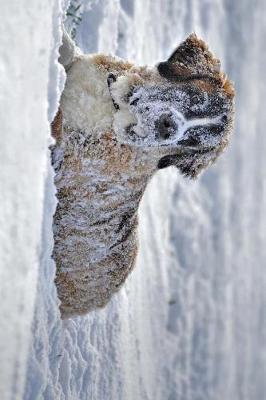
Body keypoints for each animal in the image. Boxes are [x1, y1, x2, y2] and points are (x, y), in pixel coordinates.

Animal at [52, 28, 235, 318]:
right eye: (196, 99)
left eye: (192, 141)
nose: (169, 128)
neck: (114, 108)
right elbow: (69, 50)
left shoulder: (68, 152)